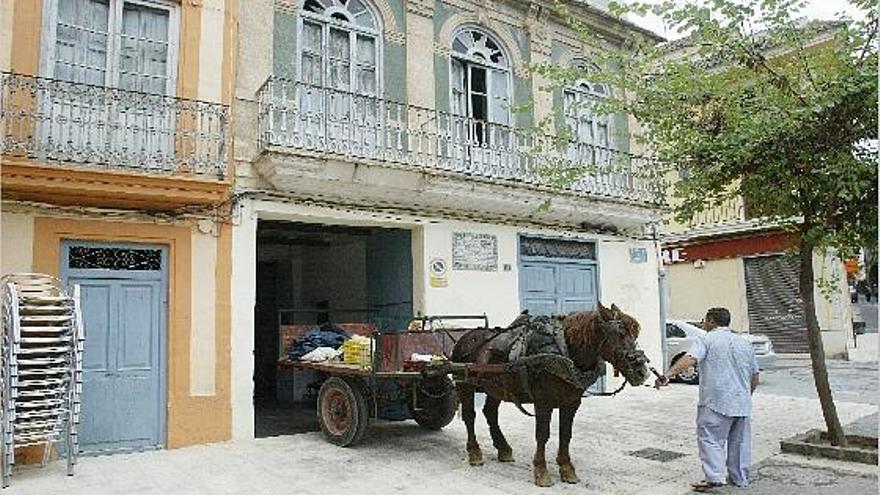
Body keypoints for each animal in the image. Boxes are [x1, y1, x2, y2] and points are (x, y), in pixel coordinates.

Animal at [450, 302, 648, 488]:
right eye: (619, 333)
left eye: (636, 333)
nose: (642, 372)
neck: (564, 352)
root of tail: (465, 337)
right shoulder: (543, 402)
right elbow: (542, 435)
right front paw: (541, 471)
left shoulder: (571, 402)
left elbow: (565, 435)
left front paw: (567, 469)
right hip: (464, 383)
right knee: (469, 416)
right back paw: (475, 452)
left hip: (496, 387)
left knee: (490, 412)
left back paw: (504, 448)